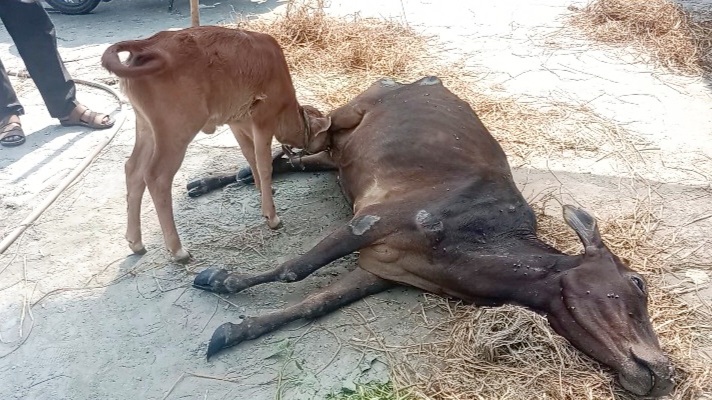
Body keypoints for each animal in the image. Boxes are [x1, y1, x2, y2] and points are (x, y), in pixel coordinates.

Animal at [101, 25, 332, 262]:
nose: (329, 146)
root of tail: (147, 45)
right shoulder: (263, 120)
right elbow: (264, 164)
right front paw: (272, 216)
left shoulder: (237, 121)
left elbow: (249, 155)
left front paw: (263, 190)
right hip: (176, 130)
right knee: (156, 177)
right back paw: (178, 250)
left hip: (146, 127)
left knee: (133, 169)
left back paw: (135, 242)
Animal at [188, 76, 672, 396]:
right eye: (637, 282)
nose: (665, 370)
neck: (467, 252)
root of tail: (423, 78)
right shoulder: (374, 219)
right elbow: (295, 268)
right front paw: (220, 279)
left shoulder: (384, 268)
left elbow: (314, 303)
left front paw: (234, 330)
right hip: (353, 109)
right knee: (312, 134)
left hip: (342, 157)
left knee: (303, 158)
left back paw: (220, 178)